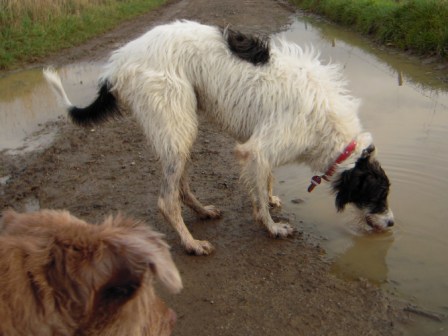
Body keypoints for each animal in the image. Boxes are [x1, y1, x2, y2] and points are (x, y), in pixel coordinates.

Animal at [43, 19, 394, 255]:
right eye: (379, 195)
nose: (391, 223)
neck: (330, 128)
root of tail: (118, 63)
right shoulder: (258, 149)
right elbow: (260, 198)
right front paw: (272, 227)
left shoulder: (265, 149)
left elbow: (266, 180)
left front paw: (270, 198)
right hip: (178, 124)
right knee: (167, 200)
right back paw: (191, 243)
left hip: (180, 128)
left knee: (181, 187)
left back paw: (202, 212)